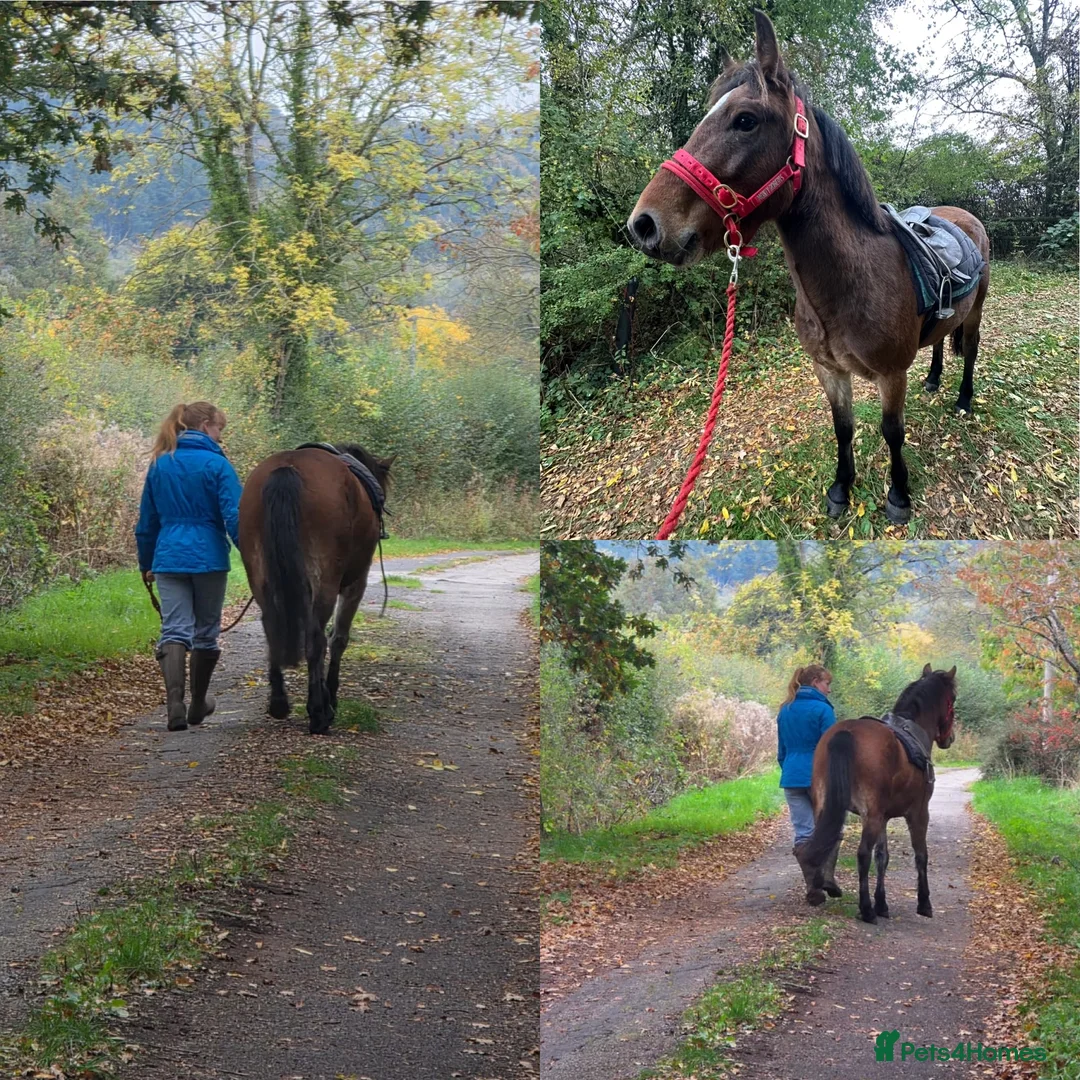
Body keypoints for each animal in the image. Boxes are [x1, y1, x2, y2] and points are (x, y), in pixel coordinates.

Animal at [237, 444, 392, 734]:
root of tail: (288, 468)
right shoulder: (356, 583)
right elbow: (338, 638)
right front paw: (330, 698)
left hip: (259, 575)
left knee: (272, 629)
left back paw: (279, 704)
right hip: (326, 581)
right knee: (316, 638)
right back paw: (318, 713)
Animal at [628, 10, 991, 525]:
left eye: (745, 120)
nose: (643, 225)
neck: (848, 286)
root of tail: (965, 216)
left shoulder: (890, 375)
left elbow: (892, 433)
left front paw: (899, 495)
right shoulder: (829, 371)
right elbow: (843, 428)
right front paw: (841, 488)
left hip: (976, 313)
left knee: (972, 349)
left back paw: (961, 398)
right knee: (941, 340)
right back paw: (936, 379)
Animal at [796, 664, 957, 924]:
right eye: (952, 699)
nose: (949, 738)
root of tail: (847, 732)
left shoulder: (883, 816)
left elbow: (883, 857)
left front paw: (882, 903)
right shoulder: (918, 814)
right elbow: (920, 855)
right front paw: (924, 903)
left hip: (826, 808)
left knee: (823, 843)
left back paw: (819, 889)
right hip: (870, 815)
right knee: (862, 854)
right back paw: (866, 909)